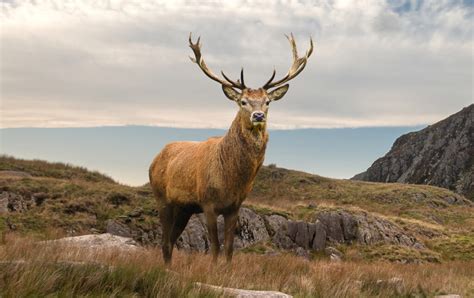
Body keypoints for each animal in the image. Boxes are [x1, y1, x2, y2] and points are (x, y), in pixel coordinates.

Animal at [148, 32, 312, 264]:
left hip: (184, 208)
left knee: (171, 241)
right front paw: (213, 269)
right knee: (164, 241)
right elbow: (215, 248)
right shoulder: (208, 203)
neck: (231, 180)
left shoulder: (235, 206)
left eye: (267, 101)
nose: (258, 116)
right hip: (162, 198)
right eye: (243, 101)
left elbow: (230, 249)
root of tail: (154, 159)